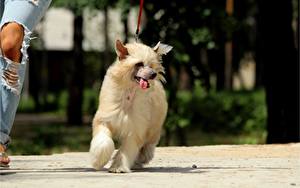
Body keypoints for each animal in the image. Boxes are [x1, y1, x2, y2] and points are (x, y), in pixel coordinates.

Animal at [89, 40, 172, 173]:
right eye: (139, 64)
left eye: (151, 65)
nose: (153, 74)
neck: (129, 93)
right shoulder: (104, 120)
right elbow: (103, 141)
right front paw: (98, 160)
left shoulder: (135, 130)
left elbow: (126, 150)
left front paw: (118, 167)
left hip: (153, 129)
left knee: (148, 145)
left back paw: (142, 157)